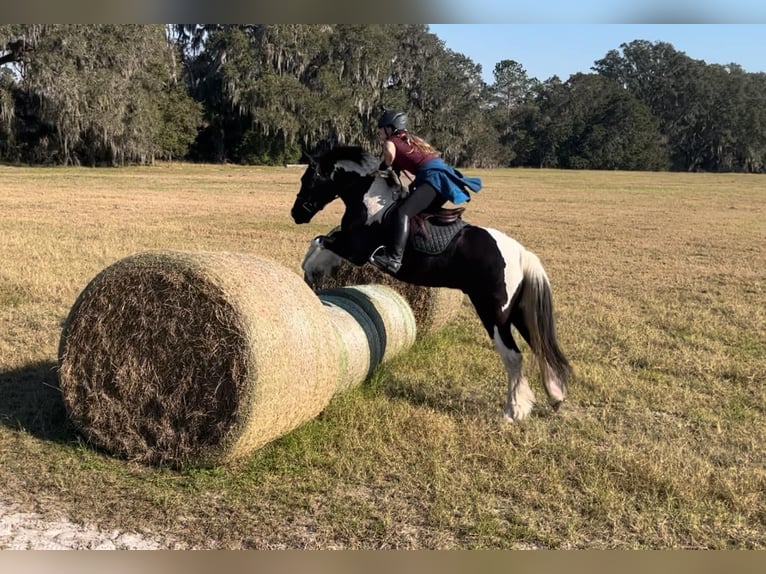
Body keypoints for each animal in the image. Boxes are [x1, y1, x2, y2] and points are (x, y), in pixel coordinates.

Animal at [292, 146, 572, 420]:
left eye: (308, 179)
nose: (296, 214)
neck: (370, 200)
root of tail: (521, 253)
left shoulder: (355, 250)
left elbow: (318, 242)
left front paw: (310, 271)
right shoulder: (348, 245)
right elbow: (321, 242)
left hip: (494, 313)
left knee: (514, 356)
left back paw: (513, 411)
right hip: (519, 311)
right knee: (540, 347)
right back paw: (555, 397)